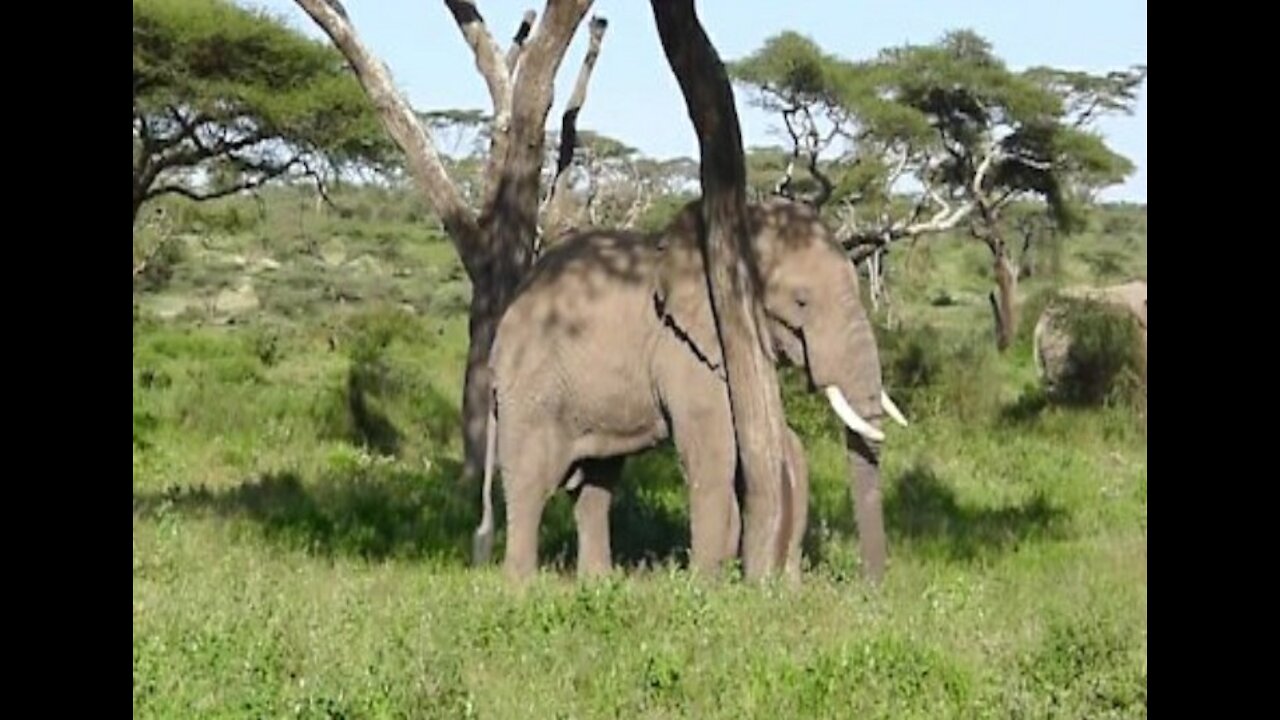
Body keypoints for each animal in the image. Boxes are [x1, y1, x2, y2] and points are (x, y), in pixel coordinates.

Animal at [473, 197, 911, 584]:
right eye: (801, 301)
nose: (869, 587)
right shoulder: (685, 346)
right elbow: (713, 452)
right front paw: (705, 586)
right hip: (531, 388)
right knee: (529, 481)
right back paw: (521, 588)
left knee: (597, 486)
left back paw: (597, 583)